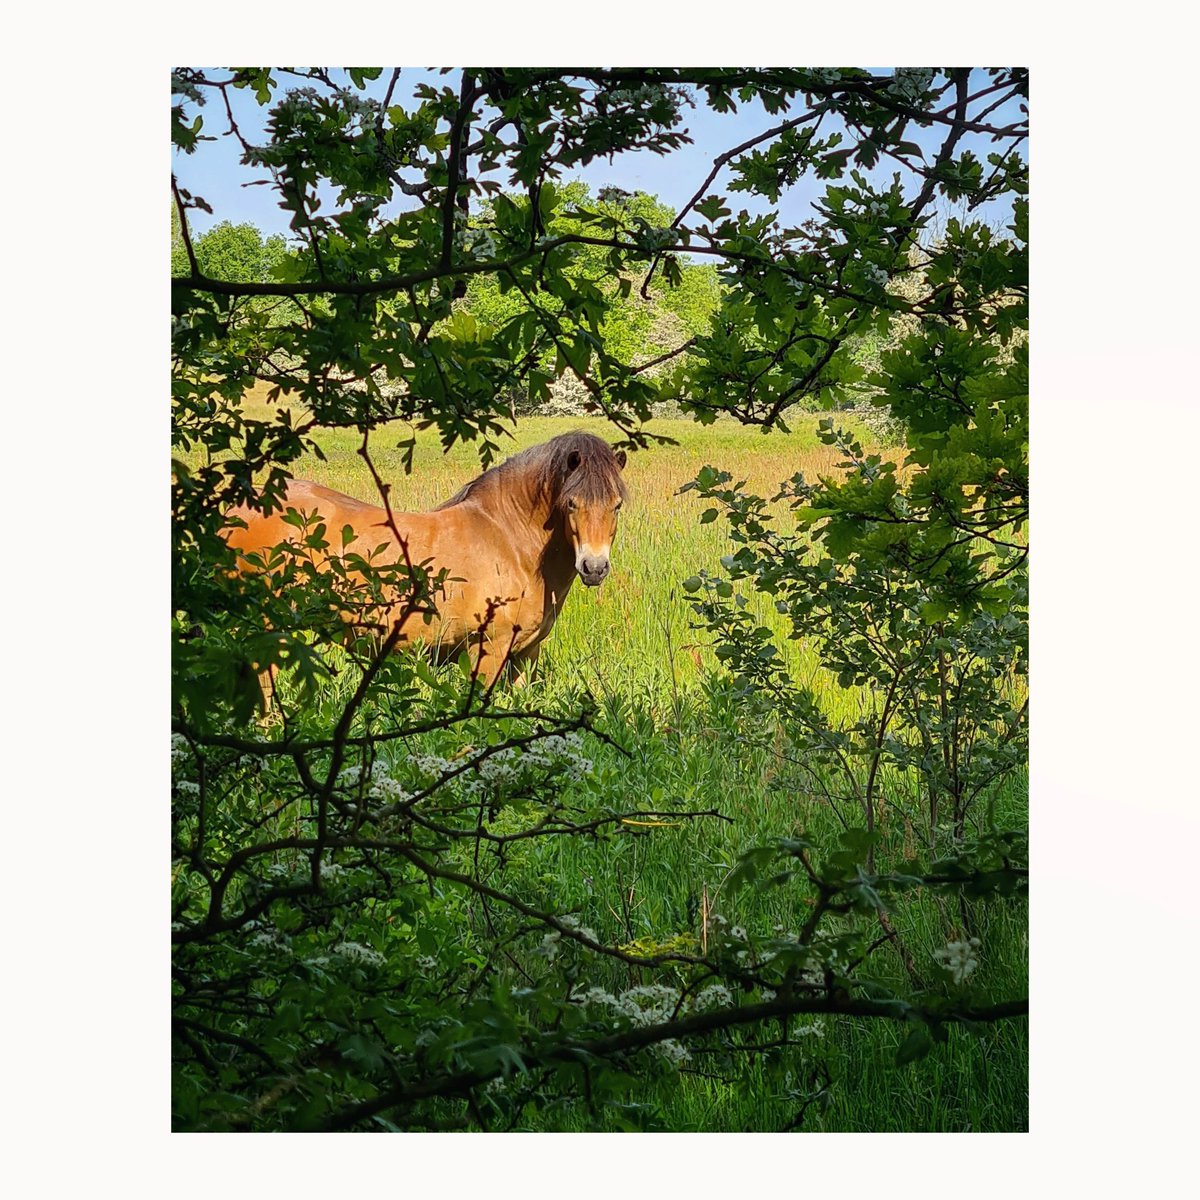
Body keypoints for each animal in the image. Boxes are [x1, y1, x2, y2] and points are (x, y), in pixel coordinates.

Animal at [224, 434, 628, 686]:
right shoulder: (489, 650)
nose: (594, 567)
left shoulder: (525, 655)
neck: (510, 542)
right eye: (571, 503)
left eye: (616, 505)